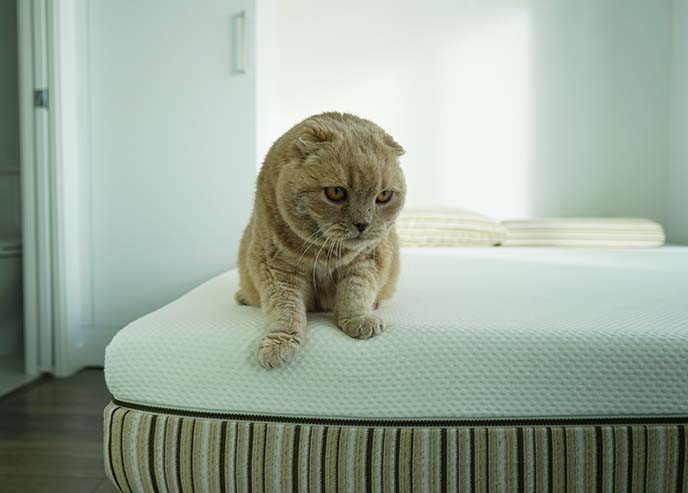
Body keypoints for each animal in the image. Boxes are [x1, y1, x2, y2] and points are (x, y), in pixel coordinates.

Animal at [238, 110, 408, 366]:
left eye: (384, 196)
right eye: (336, 192)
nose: (363, 224)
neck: (324, 253)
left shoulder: (368, 260)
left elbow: (355, 292)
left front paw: (359, 319)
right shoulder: (275, 269)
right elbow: (285, 310)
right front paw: (278, 344)